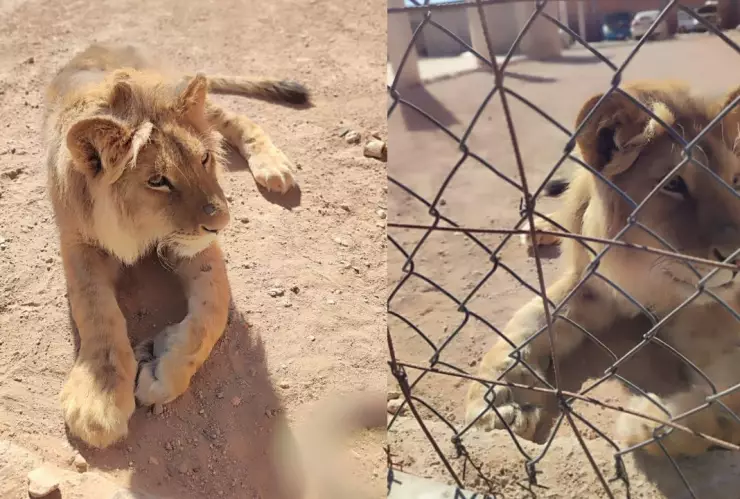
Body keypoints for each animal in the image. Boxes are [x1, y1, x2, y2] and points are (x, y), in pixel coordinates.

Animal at [46, 43, 308, 448]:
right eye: (158, 181)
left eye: (204, 159)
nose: (222, 224)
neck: (138, 227)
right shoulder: (77, 240)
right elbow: (95, 309)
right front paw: (99, 400)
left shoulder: (198, 243)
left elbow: (212, 313)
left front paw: (162, 373)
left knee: (233, 116)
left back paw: (273, 166)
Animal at [465, 81, 740, 457]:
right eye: (673, 184)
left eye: (737, 180)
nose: (737, 256)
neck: (650, 280)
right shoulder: (590, 284)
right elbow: (525, 324)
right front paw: (500, 400)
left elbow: (723, 408)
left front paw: (647, 421)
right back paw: (539, 228)